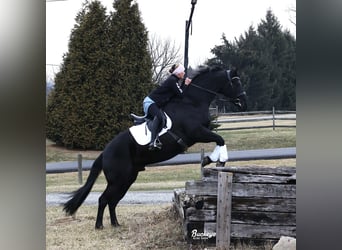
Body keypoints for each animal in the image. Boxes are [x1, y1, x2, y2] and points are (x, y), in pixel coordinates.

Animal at [63, 65, 246, 229]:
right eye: (236, 82)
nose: (243, 101)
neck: (192, 102)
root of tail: (104, 153)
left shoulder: (201, 132)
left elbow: (219, 139)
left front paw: (213, 159)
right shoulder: (197, 132)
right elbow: (220, 139)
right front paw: (215, 159)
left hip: (127, 179)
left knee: (113, 201)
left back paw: (115, 224)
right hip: (118, 179)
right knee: (103, 199)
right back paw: (99, 225)